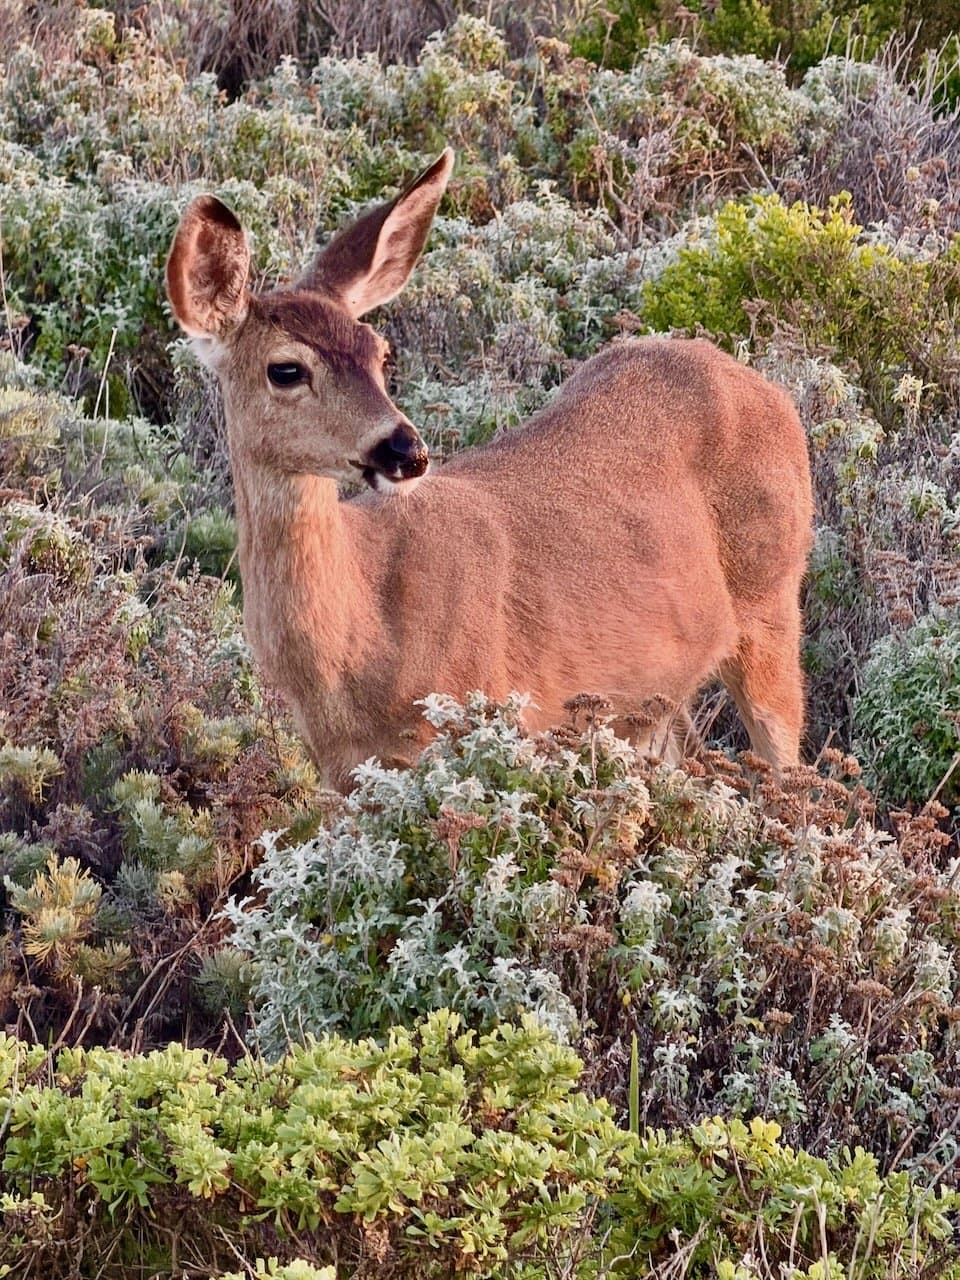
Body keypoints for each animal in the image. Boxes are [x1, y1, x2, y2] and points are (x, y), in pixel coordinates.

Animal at [166, 148, 813, 791]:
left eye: (380, 352)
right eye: (286, 370)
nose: (406, 450)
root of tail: (772, 392)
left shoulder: (491, 715)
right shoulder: (344, 774)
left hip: (772, 604)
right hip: (653, 699)